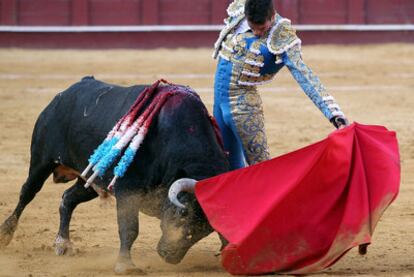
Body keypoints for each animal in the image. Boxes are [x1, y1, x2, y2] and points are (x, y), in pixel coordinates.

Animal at [0, 76, 230, 272]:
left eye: (206, 229)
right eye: (183, 213)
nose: (169, 255)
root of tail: (64, 94)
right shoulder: (128, 190)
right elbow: (129, 228)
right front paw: (126, 265)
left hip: (91, 179)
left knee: (68, 198)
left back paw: (63, 244)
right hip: (42, 159)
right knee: (27, 193)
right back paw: (5, 234)